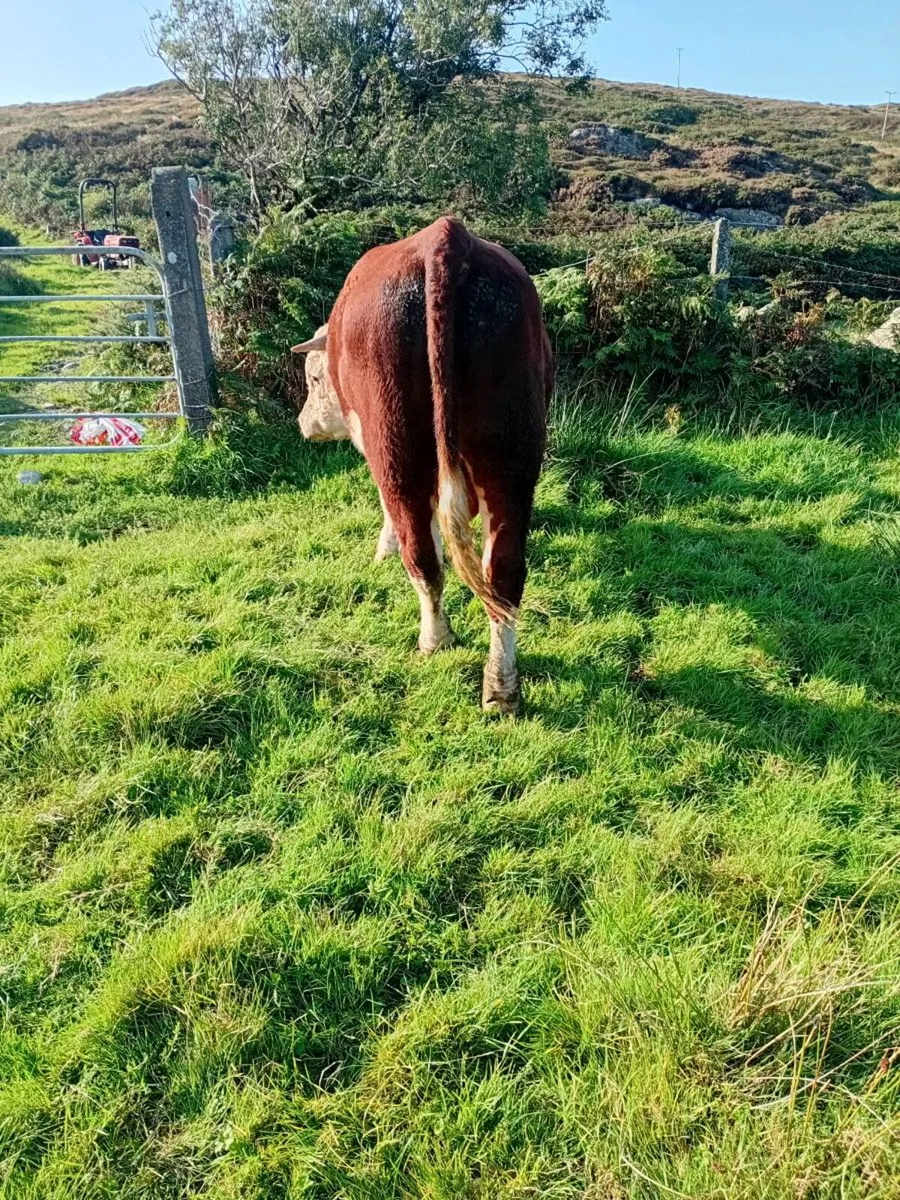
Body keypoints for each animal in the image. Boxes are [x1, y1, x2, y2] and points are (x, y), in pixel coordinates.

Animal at [292, 217, 552, 713]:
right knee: (503, 572)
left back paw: (435, 640)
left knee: (424, 555)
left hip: (397, 447)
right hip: (510, 453)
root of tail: (445, 237)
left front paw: (383, 549)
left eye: (313, 378)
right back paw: (501, 688)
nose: (302, 423)